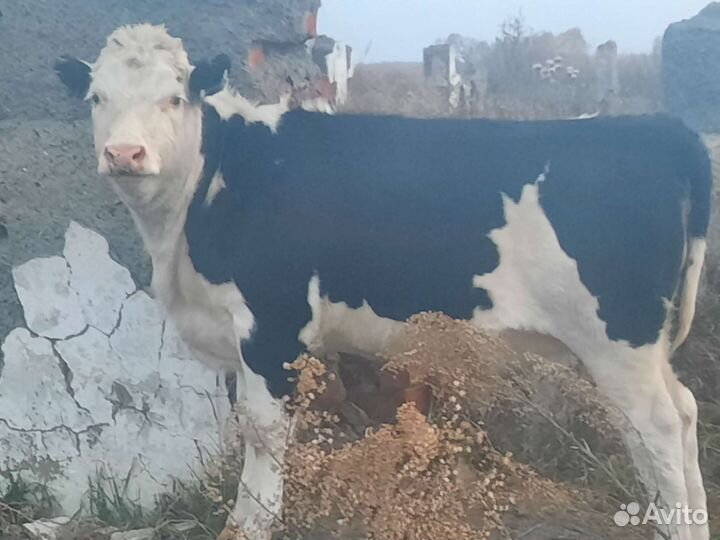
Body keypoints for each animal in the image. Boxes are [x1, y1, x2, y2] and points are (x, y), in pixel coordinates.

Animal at [55, 24, 711, 540]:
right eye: (96, 97)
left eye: (173, 98)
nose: (125, 153)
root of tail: (661, 129)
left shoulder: (273, 324)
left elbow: (263, 432)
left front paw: (251, 524)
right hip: (631, 348)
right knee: (676, 417)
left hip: (619, 337)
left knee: (657, 426)